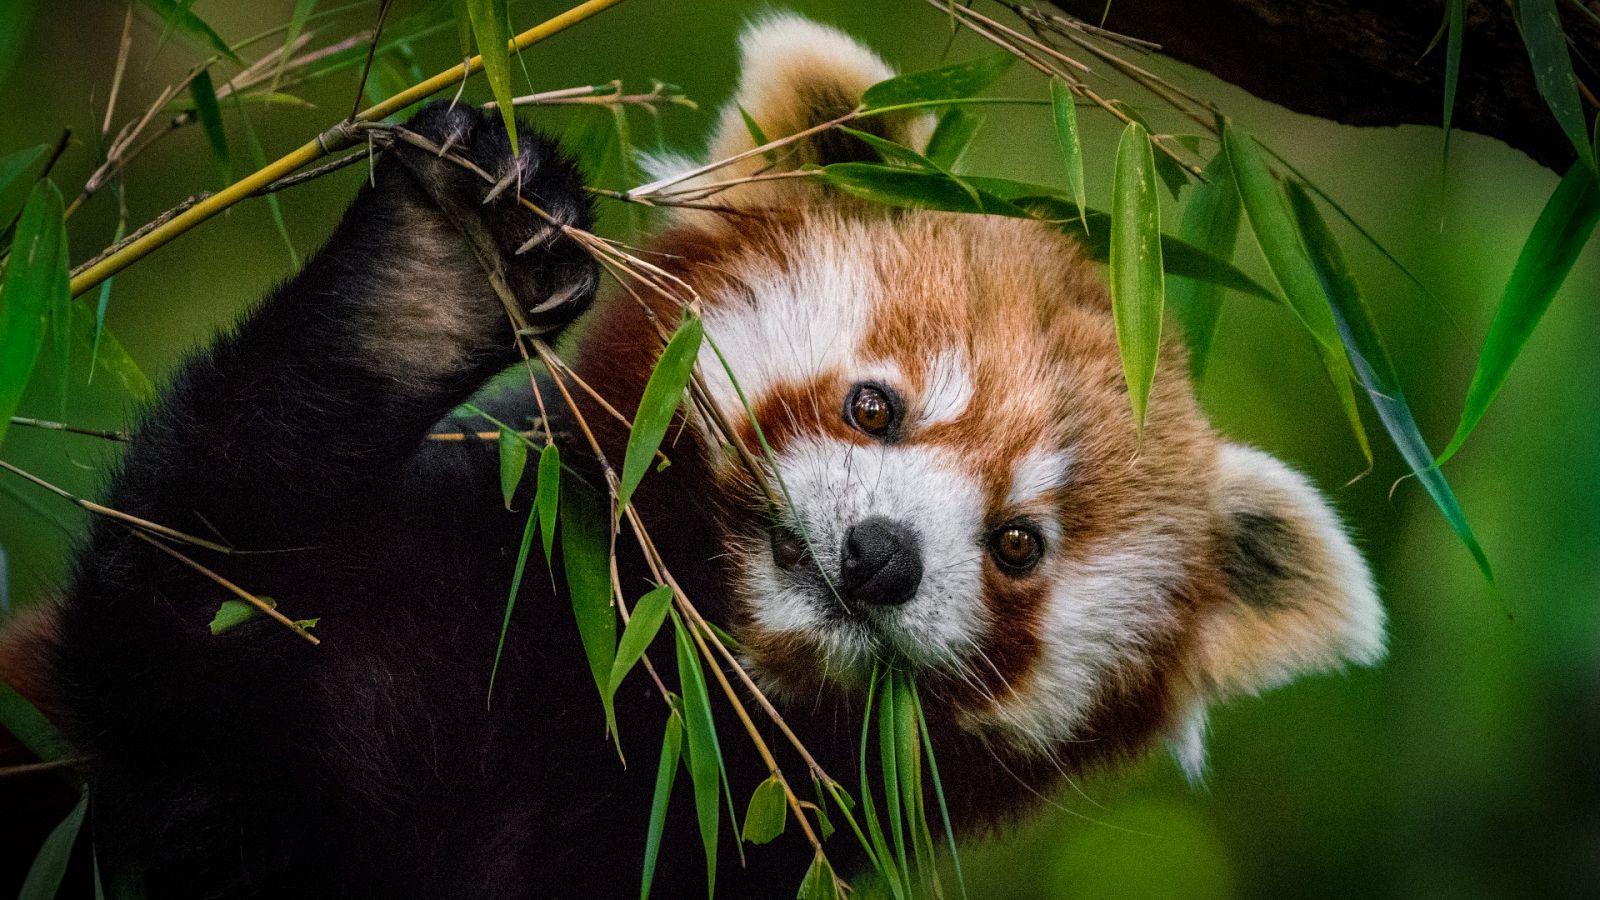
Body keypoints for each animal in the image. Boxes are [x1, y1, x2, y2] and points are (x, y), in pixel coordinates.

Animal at [3, 10, 1376, 890]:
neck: (639, 691)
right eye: (874, 407)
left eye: (1019, 545)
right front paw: (436, 275)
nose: (880, 558)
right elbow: (183, 608)